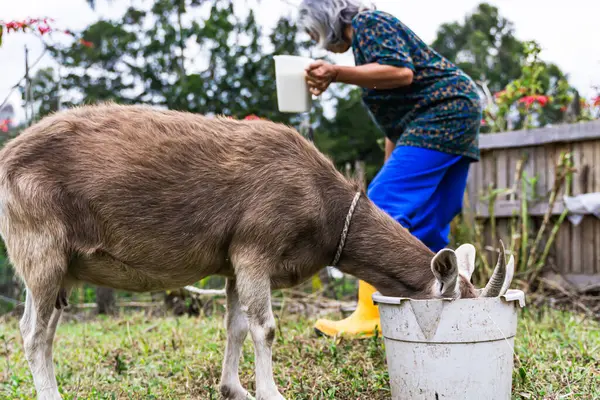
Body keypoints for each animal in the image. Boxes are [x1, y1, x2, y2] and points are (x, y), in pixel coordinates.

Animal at [0, 104, 512, 400]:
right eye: (455, 306)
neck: (322, 203)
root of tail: (7, 157)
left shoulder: (232, 262)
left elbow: (237, 327)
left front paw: (234, 389)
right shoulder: (254, 248)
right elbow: (264, 328)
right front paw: (272, 393)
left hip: (65, 265)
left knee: (46, 331)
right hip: (40, 245)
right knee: (31, 332)